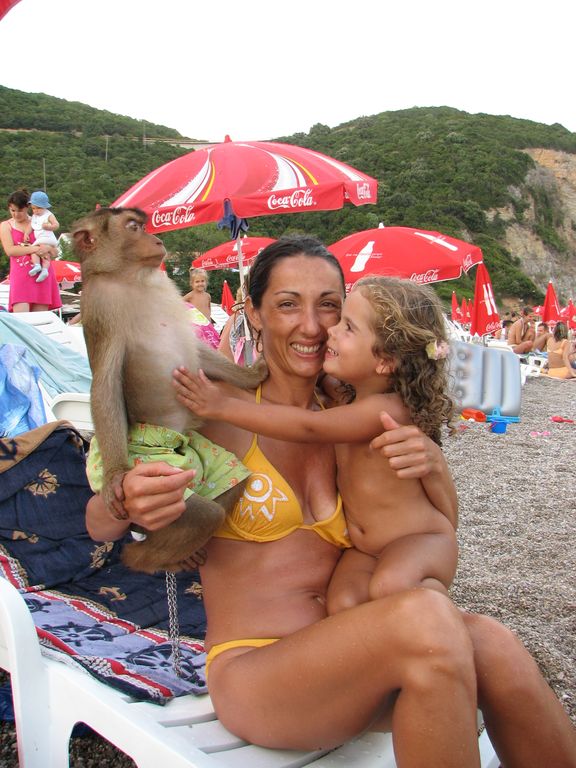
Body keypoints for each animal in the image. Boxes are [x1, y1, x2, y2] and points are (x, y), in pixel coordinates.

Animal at [72, 207, 267, 574]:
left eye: (142, 225)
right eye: (133, 227)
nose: (156, 240)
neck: (130, 276)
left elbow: (196, 349)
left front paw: (250, 376)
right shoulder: (99, 304)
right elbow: (105, 382)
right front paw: (115, 476)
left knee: (229, 483)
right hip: (158, 472)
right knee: (203, 515)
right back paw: (145, 559)